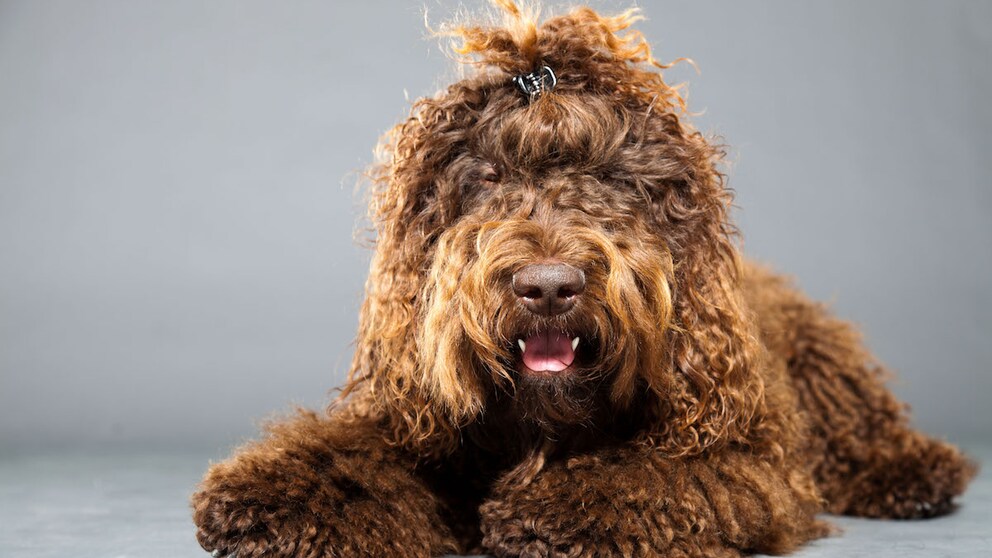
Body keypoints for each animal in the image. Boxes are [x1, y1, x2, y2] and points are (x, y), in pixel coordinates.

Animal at [192, 2, 976, 556]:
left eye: (610, 180)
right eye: (490, 178)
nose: (548, 286)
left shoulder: (745, 458)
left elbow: (658, 474)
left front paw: (552, 512)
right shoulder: (419, 424)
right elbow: (351, 458)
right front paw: (272, 494)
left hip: (823, 362)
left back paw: (914, 476)